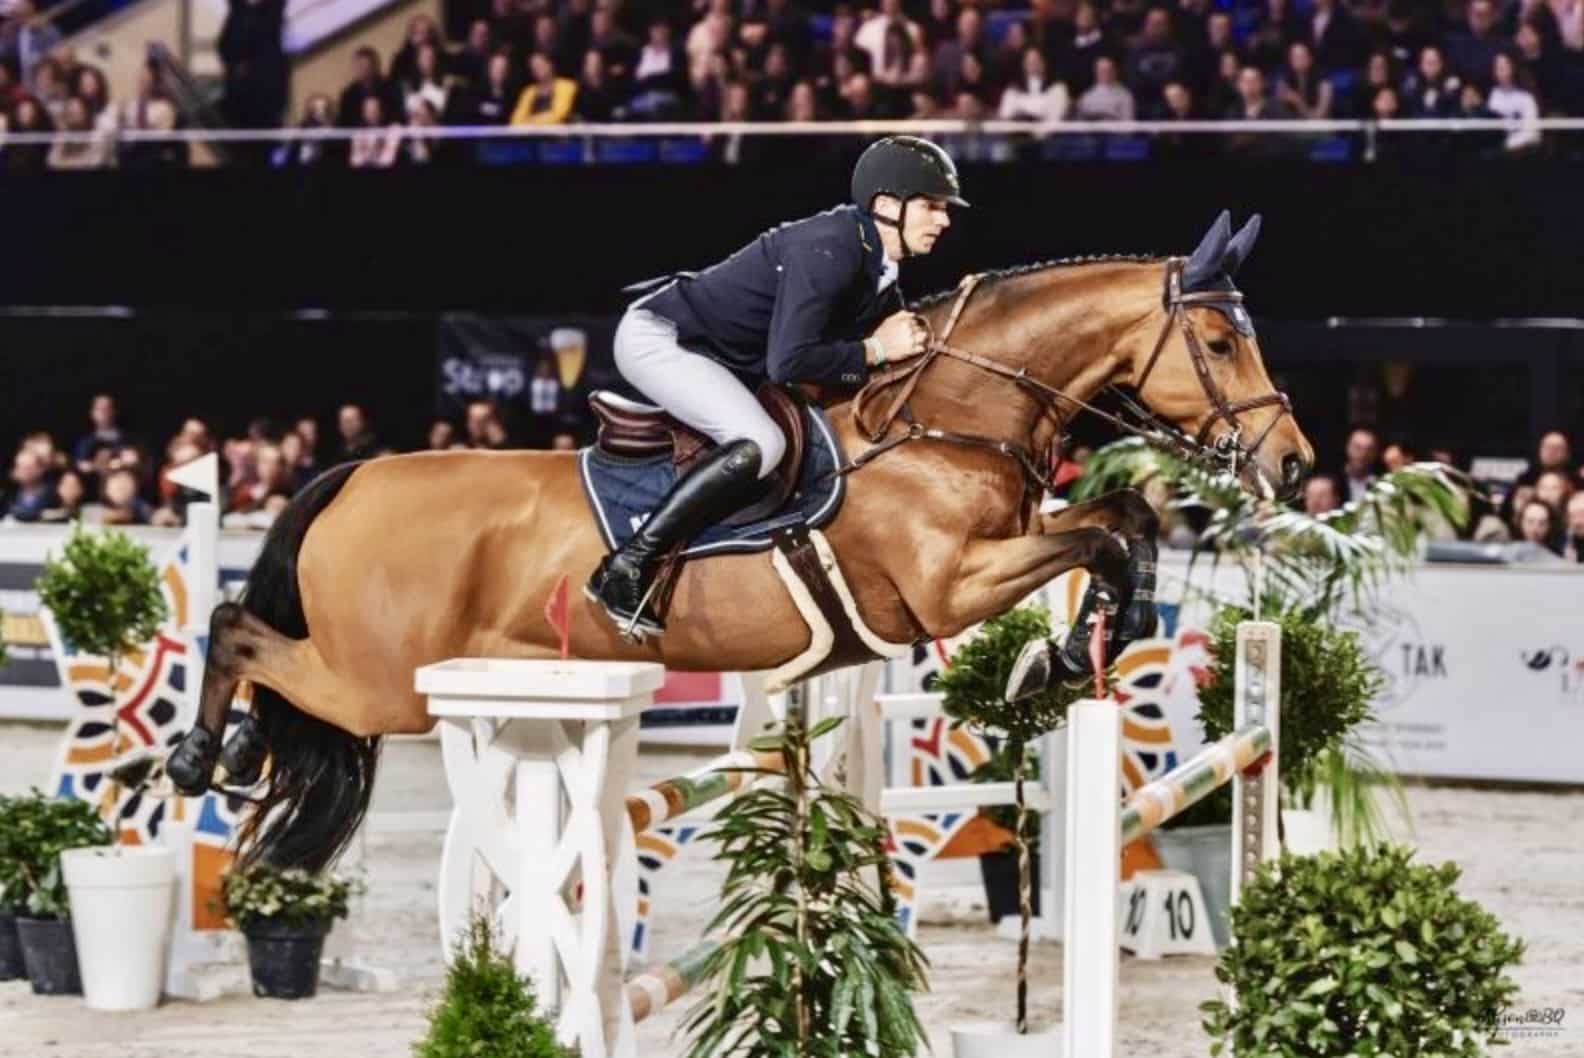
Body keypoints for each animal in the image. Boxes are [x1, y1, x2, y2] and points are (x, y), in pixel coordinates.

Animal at [167, 210, 1314, 874]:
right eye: (1221, 341)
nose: (1295, 465)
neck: (948, 413)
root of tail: (354, 474)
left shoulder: (1007, 545)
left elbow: (1122, 525)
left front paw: (1075, 648)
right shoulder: (948, 587)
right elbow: (1104, 538)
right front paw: (1061, 654)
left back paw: (241, 746)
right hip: (384, 682)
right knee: (236, 624)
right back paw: (196, 752)